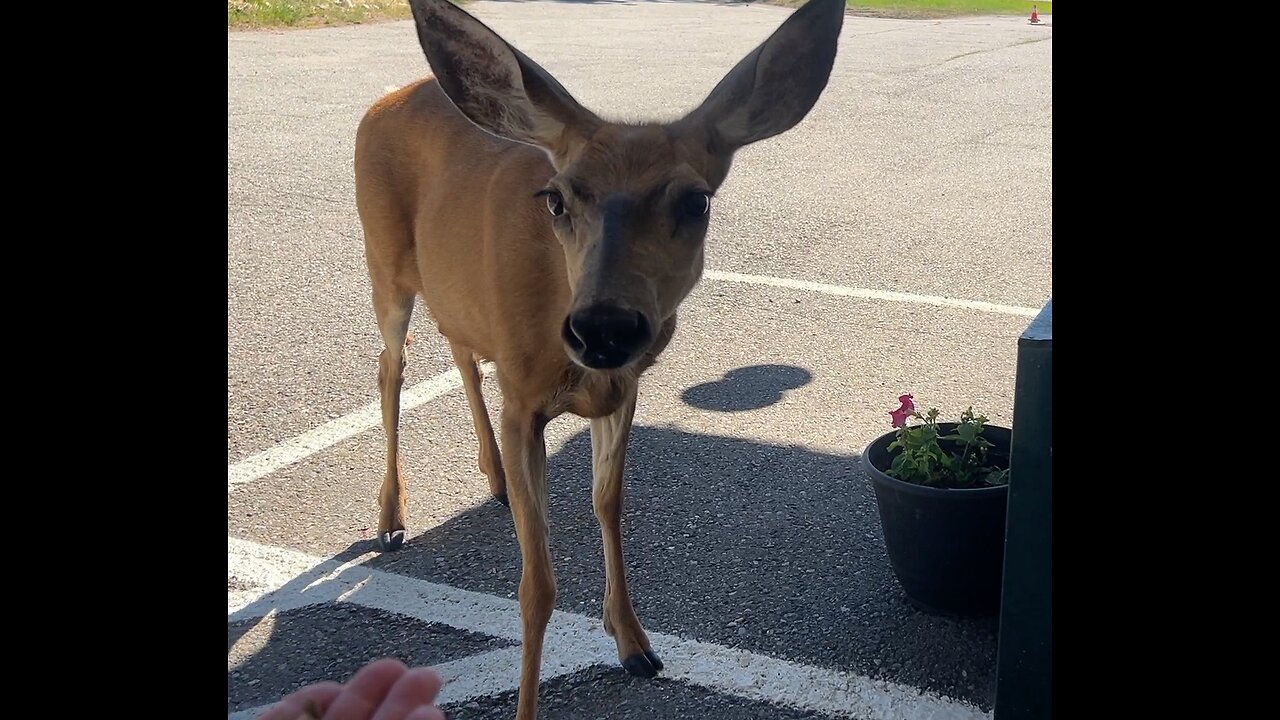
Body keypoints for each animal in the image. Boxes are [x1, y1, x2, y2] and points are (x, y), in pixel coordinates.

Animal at [355, 1, 844, 712]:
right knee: (391, 365)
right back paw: (391, 516)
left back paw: (493, 479)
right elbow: (537, 587)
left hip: (452, 290)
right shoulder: (523, 399)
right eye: (556, 198)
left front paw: (635, 643)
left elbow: (608, 503)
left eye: (695, 200)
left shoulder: (623, 388)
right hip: (384, 261)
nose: (604, 327)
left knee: (459, 349)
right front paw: (528, 704)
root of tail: (386, 98)